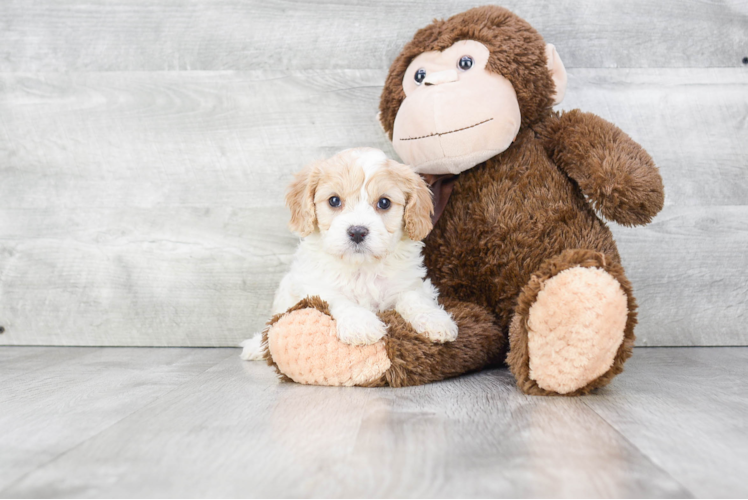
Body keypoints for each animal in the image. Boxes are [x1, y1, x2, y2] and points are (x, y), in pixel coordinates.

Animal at [243, 145, 458, 360]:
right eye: (334, 200)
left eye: (384, 203)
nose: (357, 232)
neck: (361, 268)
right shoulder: (316, 286)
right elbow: (338, 299)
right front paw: (361, 324)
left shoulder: (407, 282)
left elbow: (414, 297)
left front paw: (435, 319)